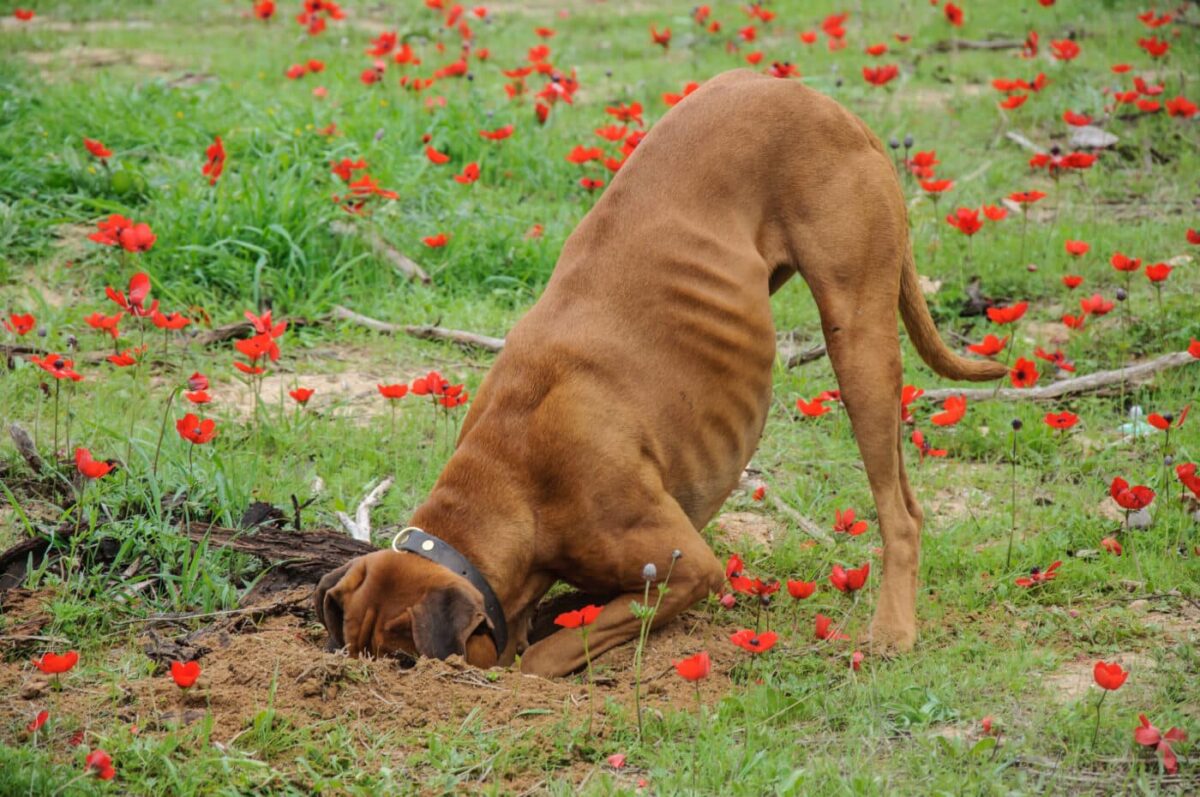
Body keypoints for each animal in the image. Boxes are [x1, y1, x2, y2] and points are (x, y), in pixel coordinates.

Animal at [314, 71, 1008, 676]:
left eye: (402, 664)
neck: (512, 475)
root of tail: (821, 101)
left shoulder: (688, 569)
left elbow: (547, 655)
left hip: (858, 338)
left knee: (900, 511)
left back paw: (892, 630)